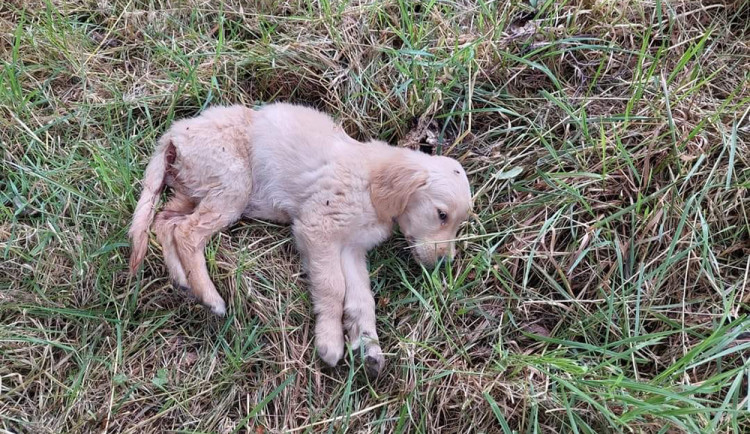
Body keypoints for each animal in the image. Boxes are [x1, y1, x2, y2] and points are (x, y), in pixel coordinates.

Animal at [128, 102, 470, 376]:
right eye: (441, 215)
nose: (444, 264)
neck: (371, 183)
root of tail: (175, 133)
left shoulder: (351, 249)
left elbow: (362, 299)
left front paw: (369, 347)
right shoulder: (318, 229)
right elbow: (333, 288)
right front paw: (330, 341)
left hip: (192, 191)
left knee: (165, 224)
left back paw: (182, 281)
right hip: (231, 186)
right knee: (188, 233)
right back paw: (210, 297)